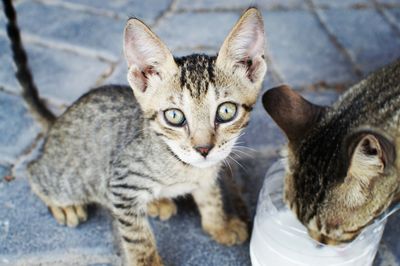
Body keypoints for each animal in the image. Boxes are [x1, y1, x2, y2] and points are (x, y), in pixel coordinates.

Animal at [3, 0, 268, 264]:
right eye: (174, 116)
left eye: (226, 111)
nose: (203, 149)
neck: (186, 167)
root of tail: (59, 119)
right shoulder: (121, 182)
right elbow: (137, 236)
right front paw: (148, 261)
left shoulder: (206, 176)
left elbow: (211, 198)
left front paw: (219, 225)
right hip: (71, 181)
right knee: (34, 171)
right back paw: (64, 205)